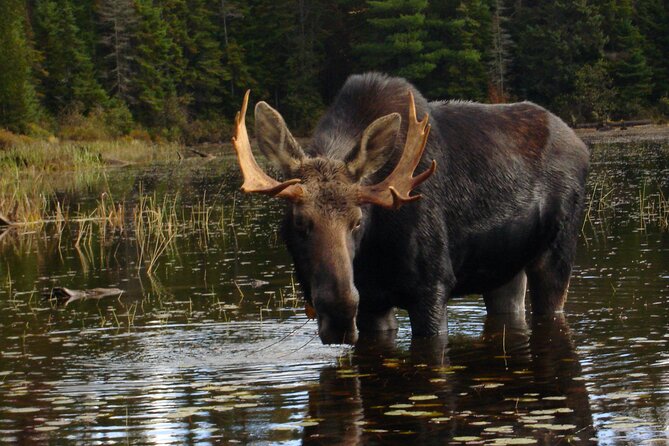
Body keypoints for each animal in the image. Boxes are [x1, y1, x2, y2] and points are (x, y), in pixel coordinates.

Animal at [232, 72, 588, 344]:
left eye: (357, 221)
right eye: (299, 222)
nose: (339, 312)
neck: (374, 253)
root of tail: (581, 145)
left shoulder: (432, 286)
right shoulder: (373, 303)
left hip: (557, 252)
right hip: (504, 268)